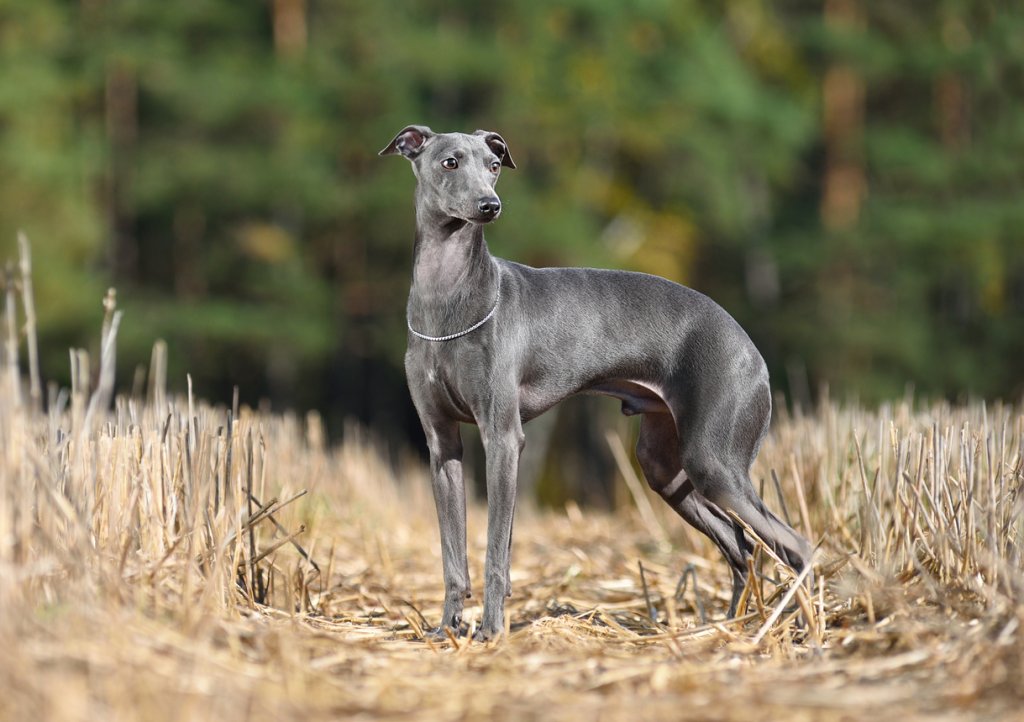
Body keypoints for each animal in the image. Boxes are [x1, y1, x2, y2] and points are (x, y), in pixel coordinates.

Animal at [380, 126, 811, 639]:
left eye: (493, 165)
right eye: (450, 162)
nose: (490, 206)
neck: (446, 300)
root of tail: (751, 349)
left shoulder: (502, 438)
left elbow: (497, 551)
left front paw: (490, 631)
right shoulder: (442, 443)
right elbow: (452, 554)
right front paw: (447, 629)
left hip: (714, 462)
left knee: (795, 545)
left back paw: (804, 629)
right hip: (666, 468)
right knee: (739, 545)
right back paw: (728, 629)